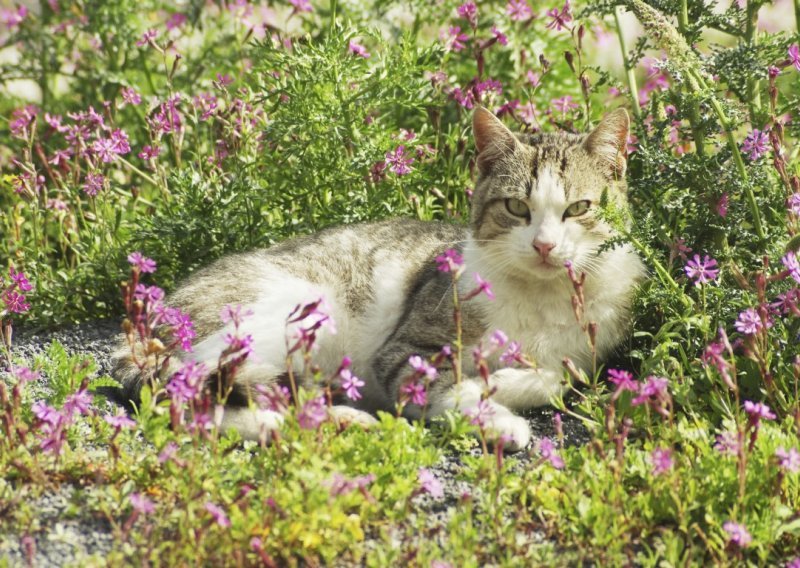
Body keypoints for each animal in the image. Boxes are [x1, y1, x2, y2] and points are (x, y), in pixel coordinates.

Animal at [112, 107, 648, 452]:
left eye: (578, 208)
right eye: (517, 207)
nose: (543, 246)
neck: (541, 297)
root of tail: (149, 317)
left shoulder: (592, 348)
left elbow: (560, 376)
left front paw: (510, 380)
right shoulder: (405, 351)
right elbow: (447, 386)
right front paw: (496, 414)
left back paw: (335, 420)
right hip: (285, 317)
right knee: (191, 398)